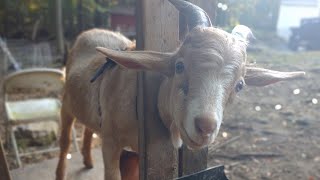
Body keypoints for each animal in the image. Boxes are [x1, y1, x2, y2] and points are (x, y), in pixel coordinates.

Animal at [55, 0, 304, 179]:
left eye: (240, 84)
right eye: (179, 66)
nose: (205, 127)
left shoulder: (133, 153)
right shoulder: (111, 143)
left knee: (88, 129)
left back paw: (88, 160)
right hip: (66, 104)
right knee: (65, 140)